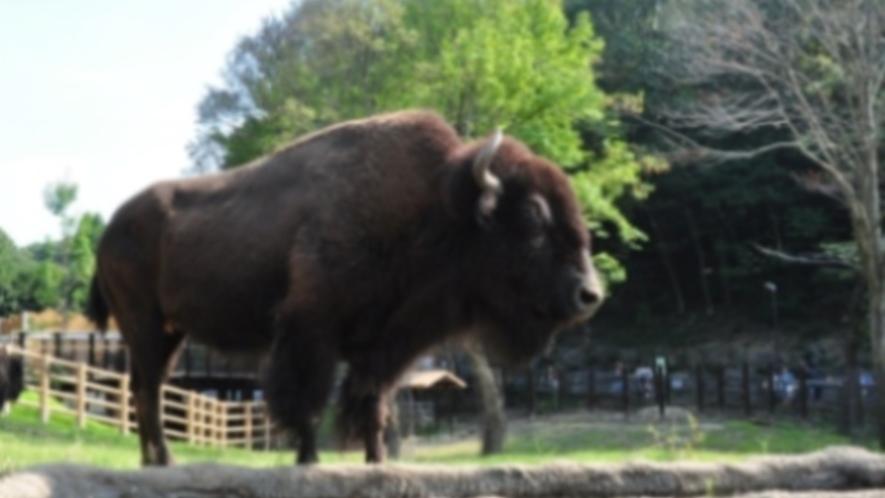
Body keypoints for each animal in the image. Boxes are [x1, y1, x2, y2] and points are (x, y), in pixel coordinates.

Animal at [86, 111, 604, 464]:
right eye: (533, 217)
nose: (590, 295)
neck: (434, 207)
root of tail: (109, 229)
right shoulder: (311, 332)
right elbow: (311, 403)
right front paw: (309, 461)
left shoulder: (383, 346)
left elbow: (374, 407)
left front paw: (377, 462)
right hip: (144, 325)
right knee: (147, 389)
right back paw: (164, 459)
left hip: (168, 332)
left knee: (144, 387)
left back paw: (153, 460)